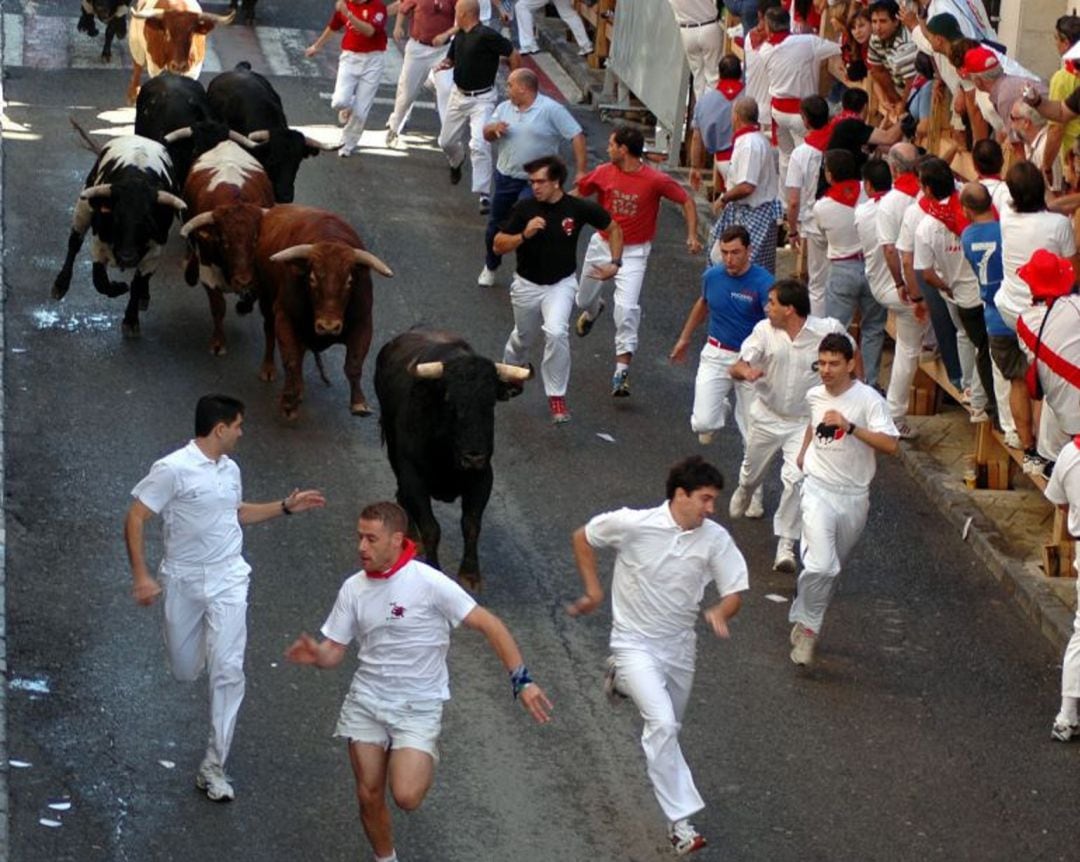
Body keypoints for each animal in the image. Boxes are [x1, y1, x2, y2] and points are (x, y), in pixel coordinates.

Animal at [254, 210, 395, 425]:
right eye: (312, 279)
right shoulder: (284, 316)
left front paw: (359, 404)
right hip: (266, 301)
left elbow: (354, 364)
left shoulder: (363, 322)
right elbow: (291, 360)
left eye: (349, 281)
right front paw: (288, 402)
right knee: (270, 332)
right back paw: (270, 369)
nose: (328, 327)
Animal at [373, 332, 533, 596]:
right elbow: (431, 528)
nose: (473, 456)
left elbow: (471, 525)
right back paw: (410, 535)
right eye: (449, 400)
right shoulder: (413, 477)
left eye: (490, 402)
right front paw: (434, 569)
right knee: (401, 495)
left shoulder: (482, 478)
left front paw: (470, 575)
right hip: (395, 455)